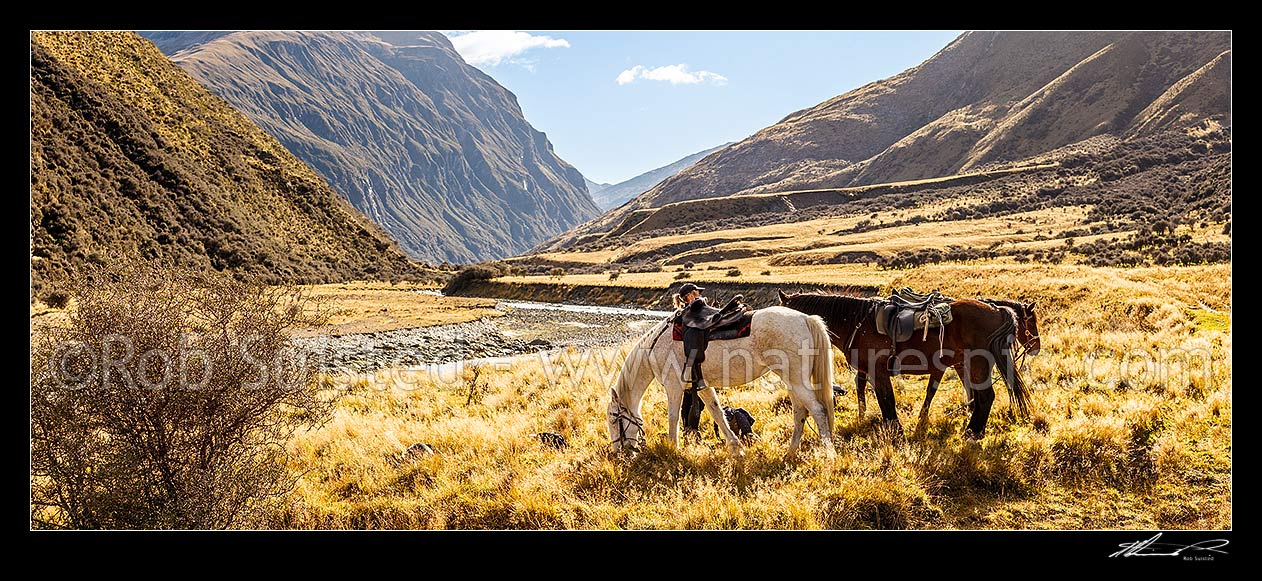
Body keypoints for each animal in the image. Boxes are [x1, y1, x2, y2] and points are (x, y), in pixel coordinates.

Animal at [610, 304, 837, 457]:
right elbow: (717, 413)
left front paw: (673, 448)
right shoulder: (702, 386)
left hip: (797, 380)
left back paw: (829, 454)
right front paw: (736, 449)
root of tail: (806, 318)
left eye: (614, 419)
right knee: (800, 412)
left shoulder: (674, 386)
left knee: (818, 410)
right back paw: (790, 453)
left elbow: (673, 418)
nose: (617, 453)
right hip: (792, 382)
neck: (655, 348)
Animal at [777, 290, 1034, 439]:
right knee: (981, 397)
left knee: (986, 397)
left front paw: (896, 432)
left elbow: (887, 400)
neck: (855, 322)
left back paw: (972, 432)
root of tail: (997, 310)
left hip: (977, 364)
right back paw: (974, 430)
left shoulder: (878, 371)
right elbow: (879, 400)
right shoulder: (869, 373)